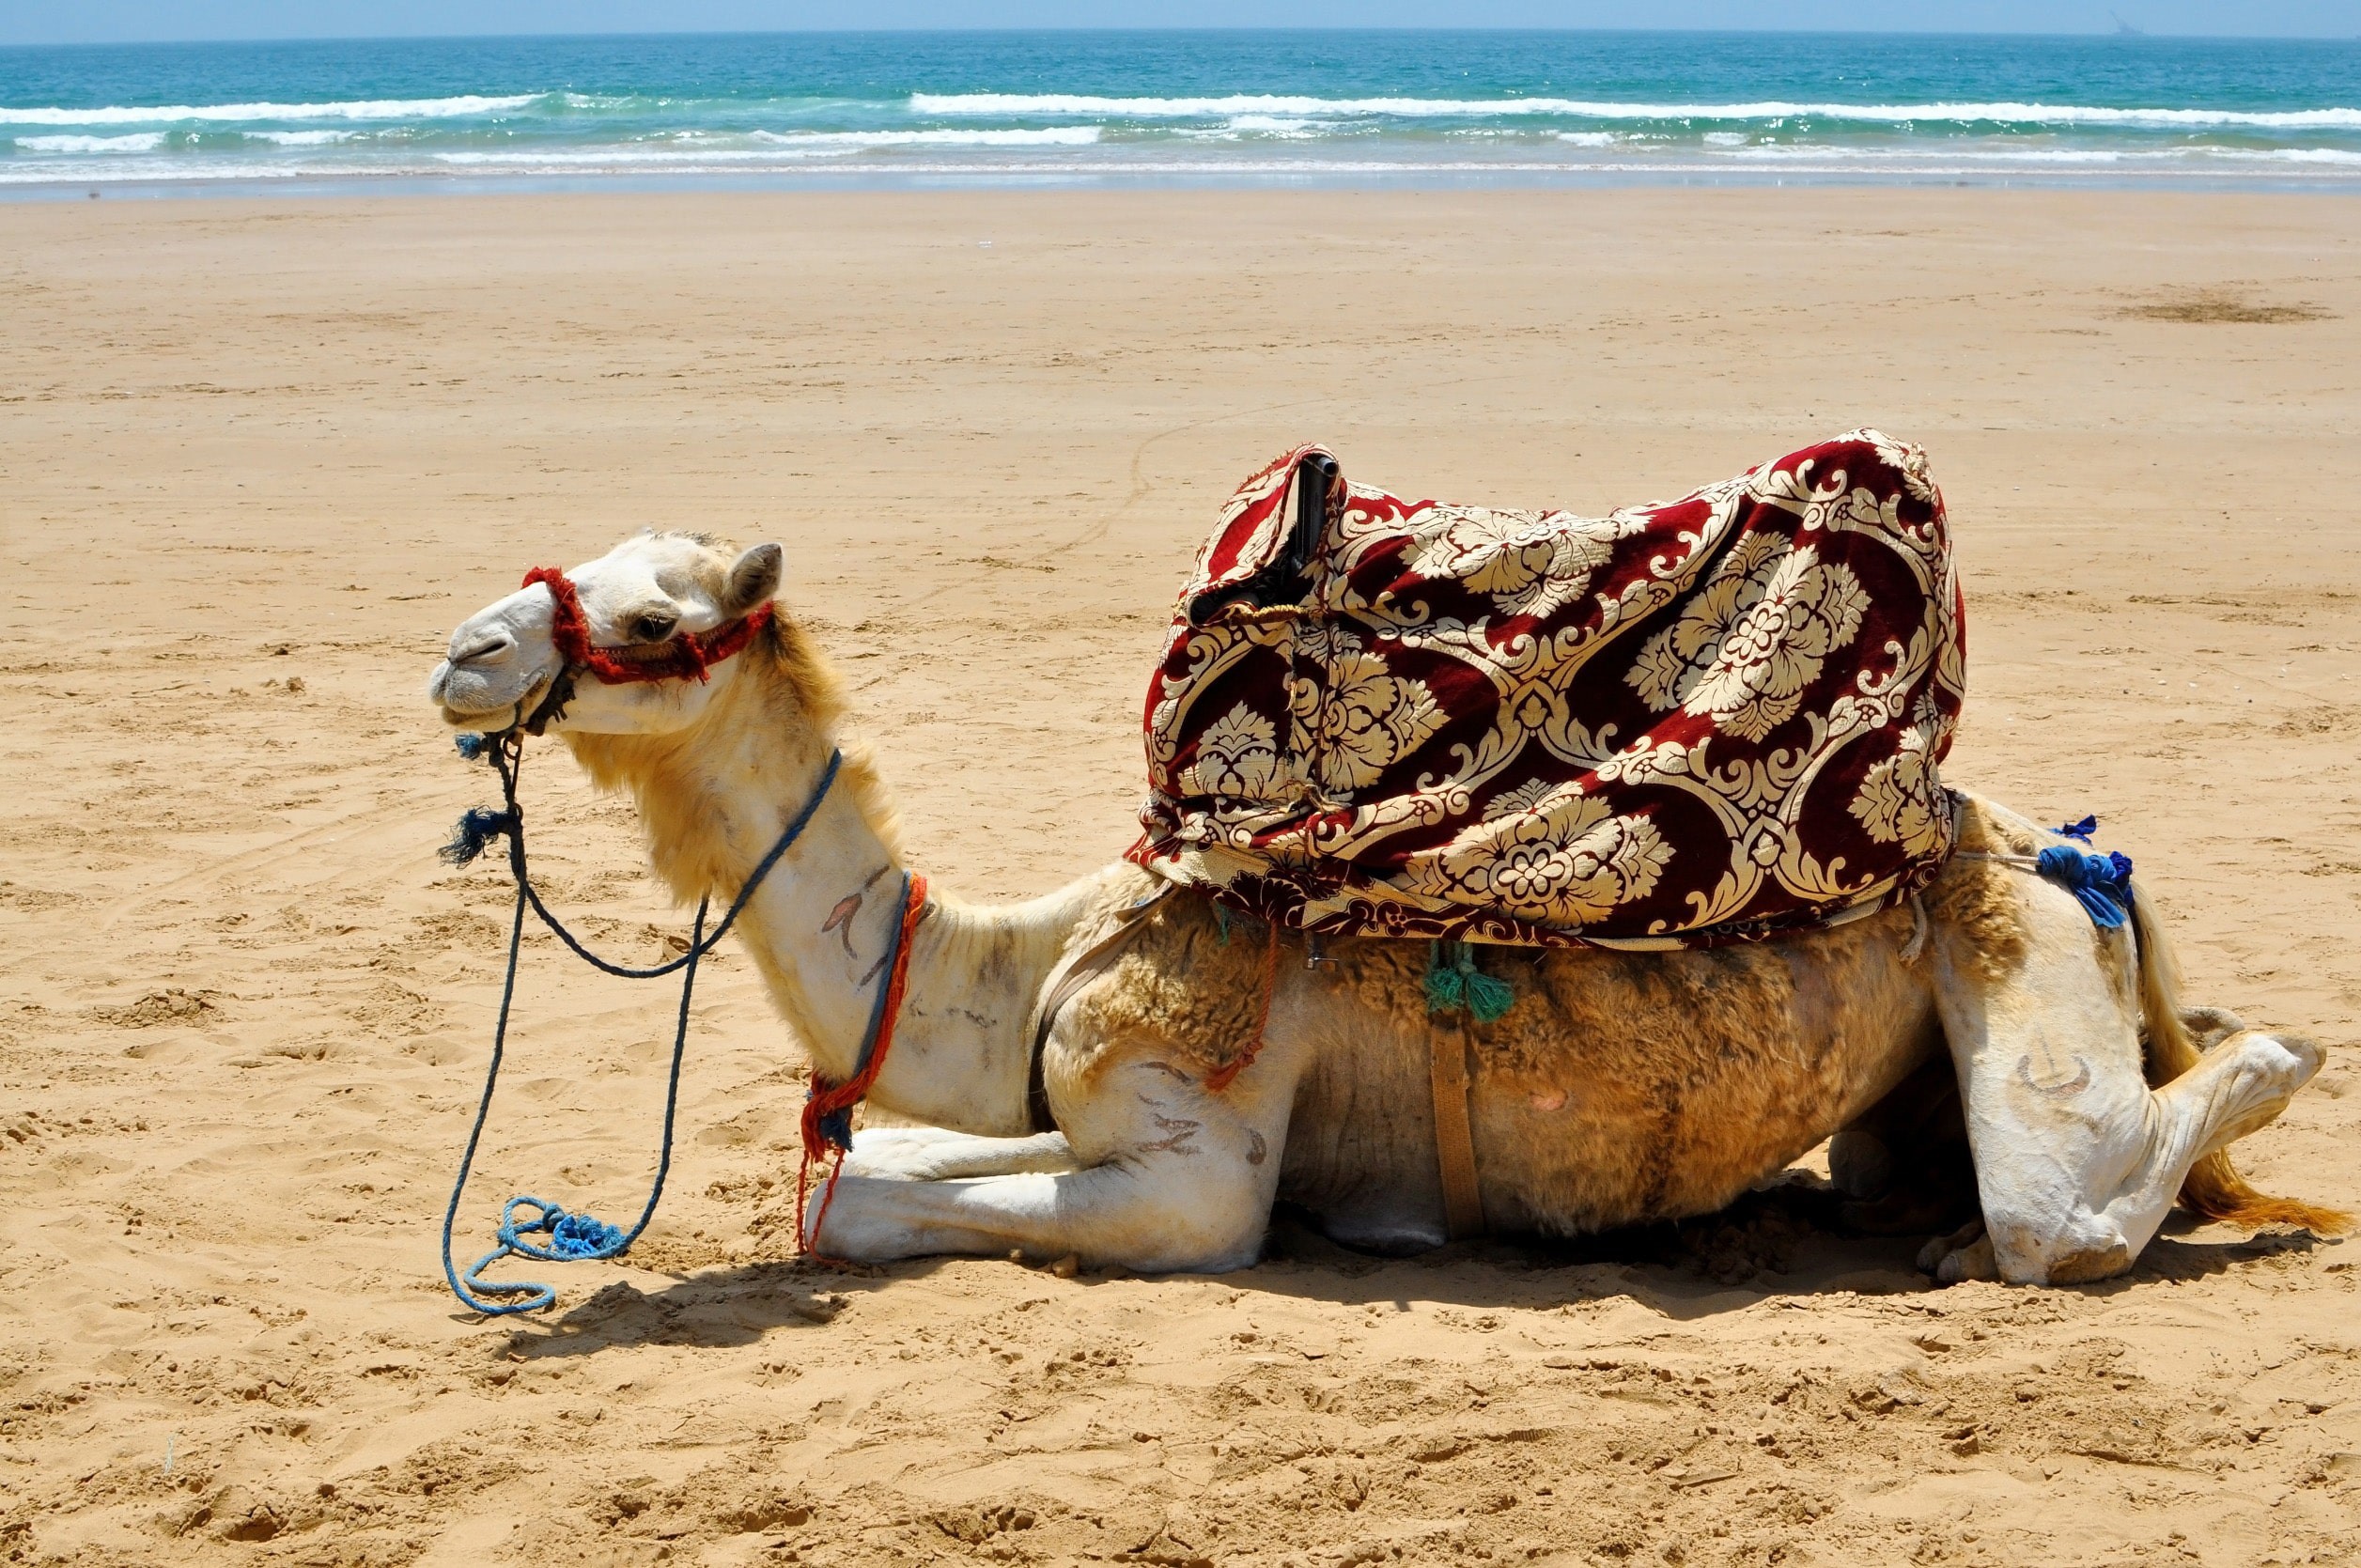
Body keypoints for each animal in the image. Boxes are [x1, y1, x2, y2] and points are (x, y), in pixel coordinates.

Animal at [425, 526, 2341, 1284]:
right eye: (580, 560)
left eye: (654, 618)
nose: (463, 651)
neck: (1025, 956)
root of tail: (2070, 849)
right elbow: (879, 1156)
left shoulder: (1196, 1169)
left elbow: (858, 1202)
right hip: (1913, 1087)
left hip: (2026, 960)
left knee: (2072, 1195)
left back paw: (2249, 1075)